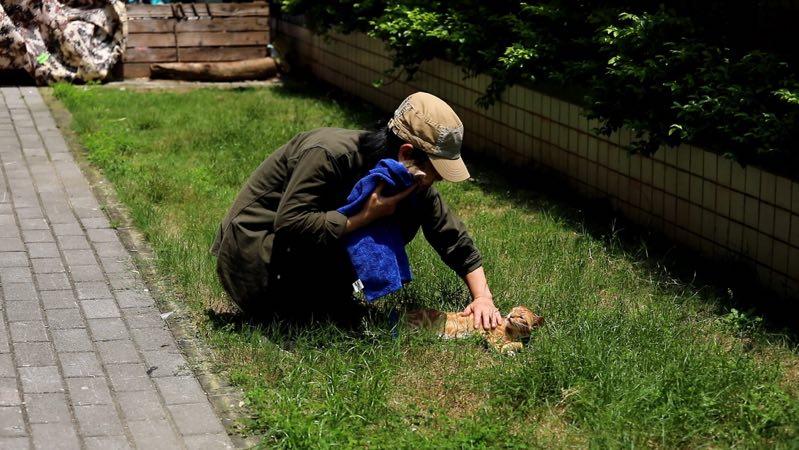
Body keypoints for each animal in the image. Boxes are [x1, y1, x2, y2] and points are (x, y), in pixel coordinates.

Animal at [406, 306, 544, 356]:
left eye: (521, 317)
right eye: (513, 310)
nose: (510, 315)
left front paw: (512, 351)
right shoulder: (493, 341)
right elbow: (513, 346)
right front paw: (510, 350)